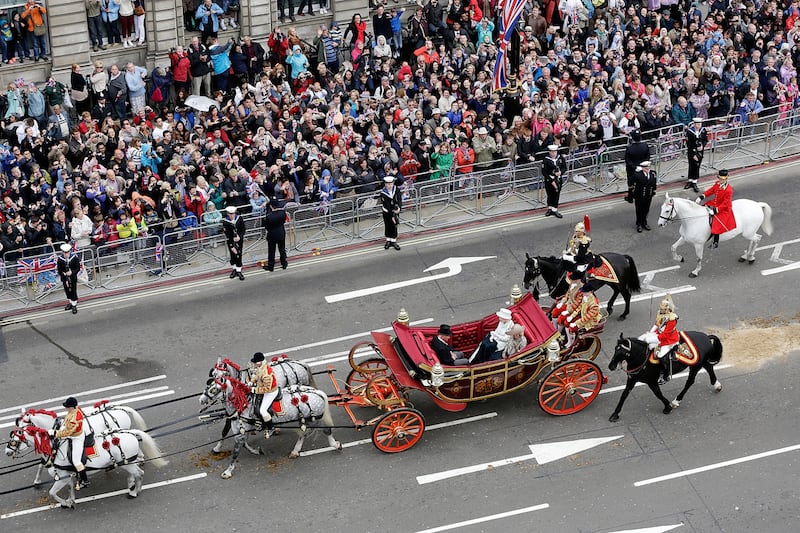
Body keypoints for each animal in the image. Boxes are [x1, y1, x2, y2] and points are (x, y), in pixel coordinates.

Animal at [5, 424, 169, 508]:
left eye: (14, 440)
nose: (6, 452)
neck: (55, 449)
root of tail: (129, 432)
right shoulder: (68, 476)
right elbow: (70, 488)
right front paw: (70, 500)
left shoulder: (63, 478)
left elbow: (52, 493)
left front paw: (65, 503)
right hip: (126, 463)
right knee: (135, 474)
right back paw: (132, 486)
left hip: (127, 464)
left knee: (139, 473)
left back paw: (135, 492)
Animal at [17, 404, 148, 486]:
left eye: (24, 428)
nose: (15, 441)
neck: (56, 428)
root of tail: (122, 409)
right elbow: (41, 464)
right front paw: (37, 481)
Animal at [199, 372, 340, 480]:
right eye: (208, 386)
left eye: (213, 389)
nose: (201, 400)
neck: (244, 404)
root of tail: (317, 392)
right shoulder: (243, 431)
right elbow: (244, 444)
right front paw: (256, 451)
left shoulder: (240, 433)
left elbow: (235, 453)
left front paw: (227, 472)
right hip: (305, 420)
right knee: (303, 434)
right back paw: (295, 451)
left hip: (313, 419)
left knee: (326, 430)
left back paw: (335, 444)